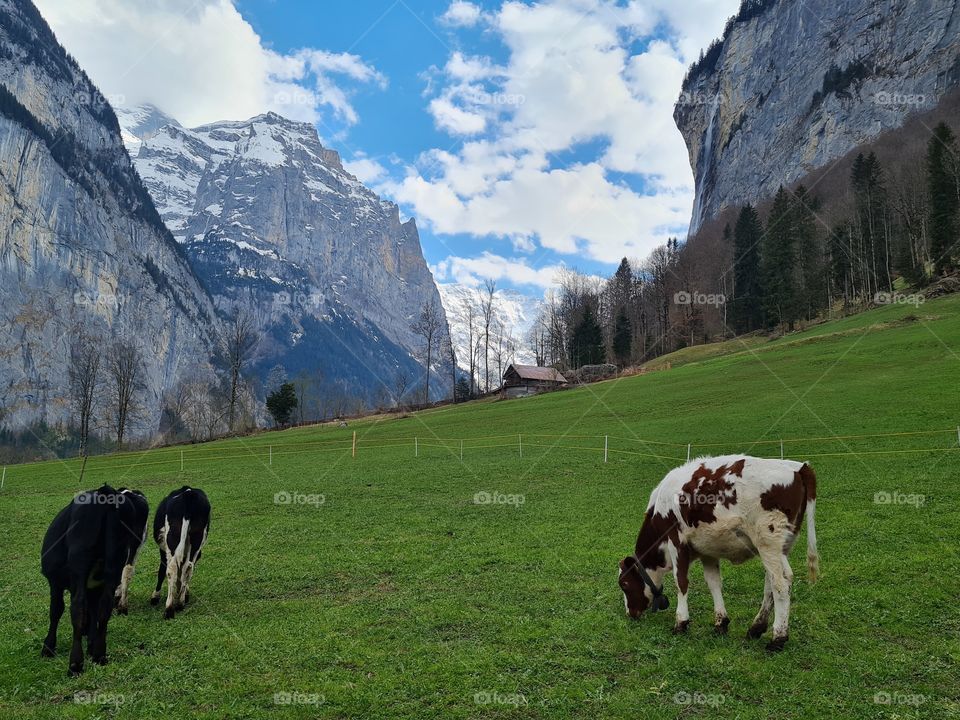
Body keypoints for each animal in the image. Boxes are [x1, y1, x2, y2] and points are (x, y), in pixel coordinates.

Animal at [40, 485, 146, 675]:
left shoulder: (55, 583)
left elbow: (56, 611)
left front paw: (48, 647)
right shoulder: (96, 588)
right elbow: (95, 612)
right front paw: (91, 644)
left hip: (80, 563)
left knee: (77, 607)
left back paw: (75, 664)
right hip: (113, 567)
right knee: (105, 607)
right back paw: (99, 655)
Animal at [151, 486, 210, 619]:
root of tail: (189, 493)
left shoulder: (163, 549)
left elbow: (162, 571)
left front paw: (155, 596)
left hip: (172, 539)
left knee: (172, 568)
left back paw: (169, 609)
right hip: (196, 538)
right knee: (188, 567)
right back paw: (180, 603)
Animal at [618, 456, 818, 651]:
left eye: (624, 584)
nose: (630, 613)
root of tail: (799, 467)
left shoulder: (676, 542)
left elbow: (681, 582)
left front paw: (681, 622)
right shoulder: (708, 550)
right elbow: (714, 583)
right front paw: (721, 623)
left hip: (768, 543)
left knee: (781, 585)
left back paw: (778, 638)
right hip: (780, 547)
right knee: (773, 583)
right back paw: (756, 627)